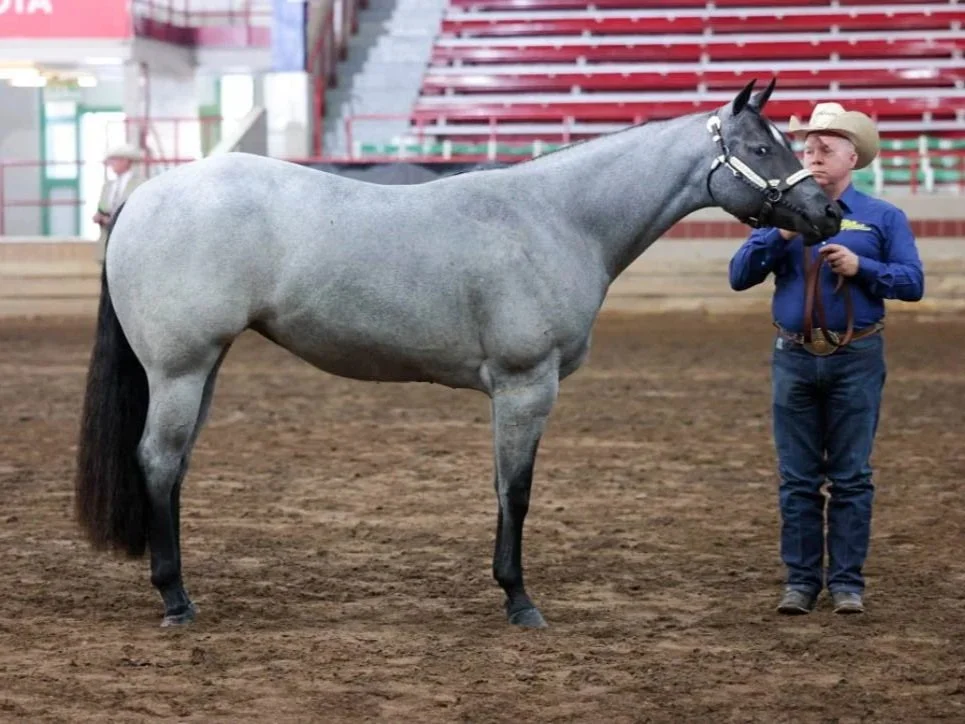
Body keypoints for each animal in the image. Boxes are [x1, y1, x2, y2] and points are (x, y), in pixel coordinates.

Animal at [74, 79, 842, 629]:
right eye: (765, 149)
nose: (828, 214)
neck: (558, 218)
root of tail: (143, 198)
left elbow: (507, 489)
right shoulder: (526, 386)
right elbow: (516, 491)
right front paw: (519, 601)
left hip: (203, 370)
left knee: (173, 469)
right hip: (180, 369)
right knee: (158, 461)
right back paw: (176, 600)